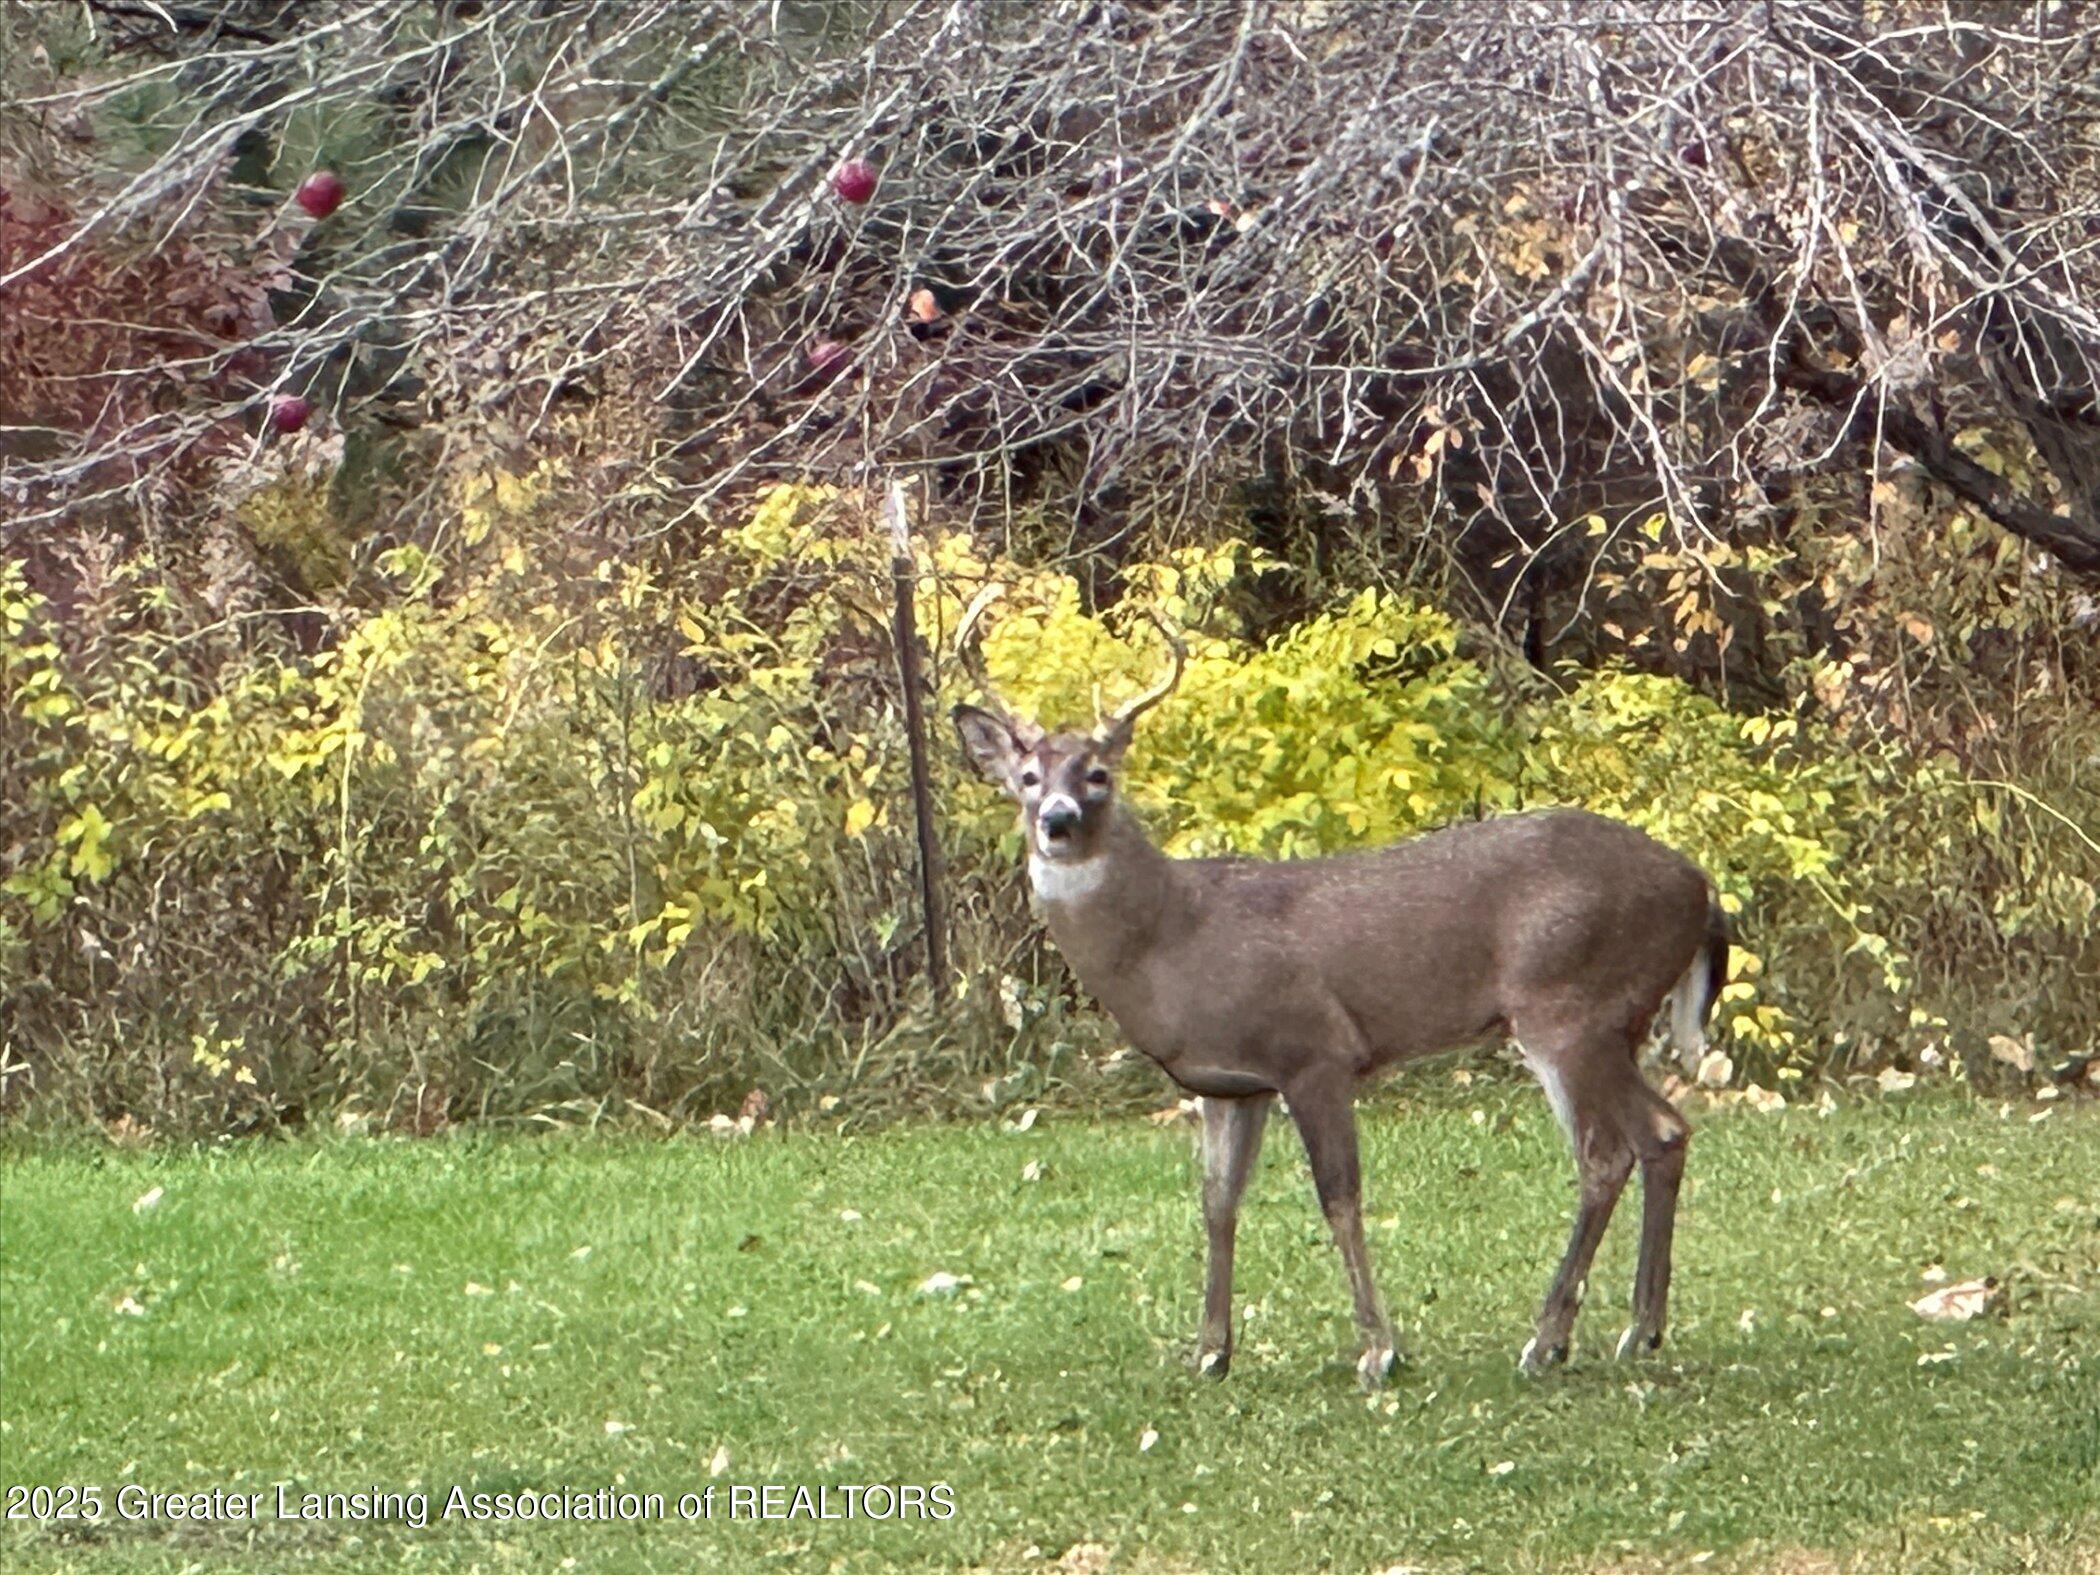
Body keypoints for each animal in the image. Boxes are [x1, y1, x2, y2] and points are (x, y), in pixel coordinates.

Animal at [949, 600, 1729, 1387]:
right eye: (1026, 776)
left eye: (1099, 774)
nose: (1057, 821)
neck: (1176, 939)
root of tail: (1701, 888)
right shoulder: (1231, 1082)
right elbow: (1216, 1201)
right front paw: (1211, 1350)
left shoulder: (1313, 1050)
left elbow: (1339, 1196)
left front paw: (1379, 1349)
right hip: (1606, 1020)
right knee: (1660, 1134)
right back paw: (1636, 1328)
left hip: (1571, 1008)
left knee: (1614, 1150)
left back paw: (1551, 1339)